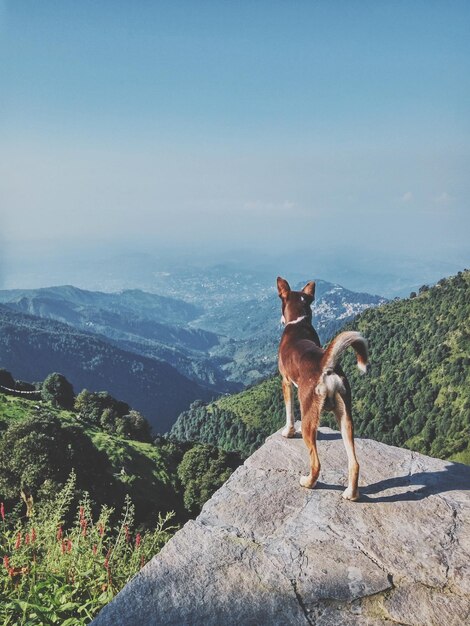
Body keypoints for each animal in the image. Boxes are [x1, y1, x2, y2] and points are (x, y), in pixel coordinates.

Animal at [278, 276, 370, 500]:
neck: (299, 322)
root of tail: (324, 365)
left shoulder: (286, 382)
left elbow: (289, 412)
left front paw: (288, 432)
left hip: (308, 414)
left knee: (316, 462)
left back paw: (308, 482)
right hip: (345, 416)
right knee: (354, 462)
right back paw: (351, 493)